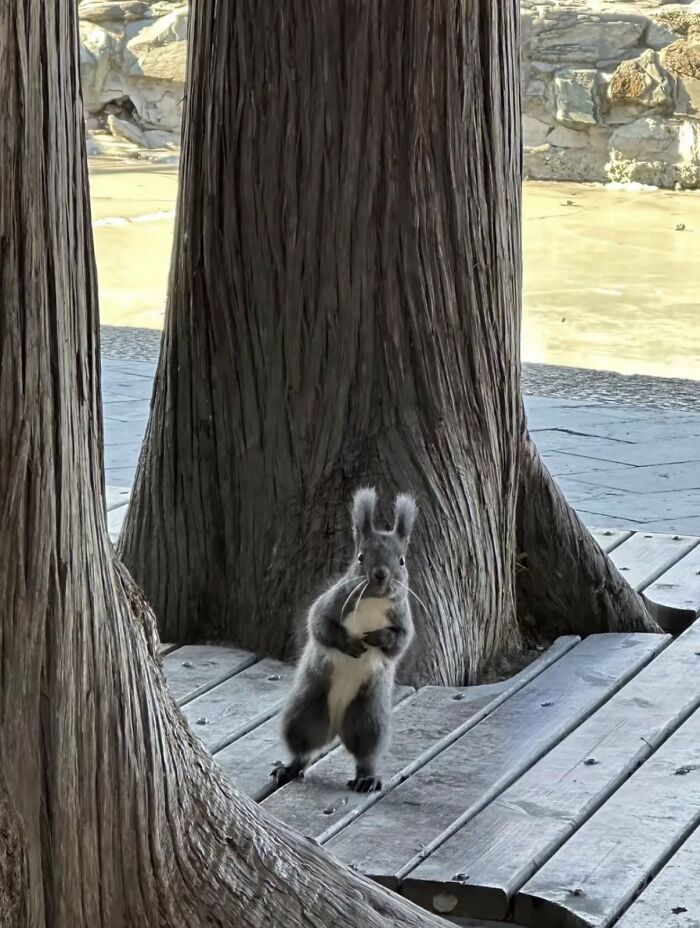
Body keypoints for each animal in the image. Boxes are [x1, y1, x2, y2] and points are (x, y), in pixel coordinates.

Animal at [271, 487, 417, 793]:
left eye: (401, 560)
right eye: (361, 556)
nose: (381, 574)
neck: (373, 603)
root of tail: (337, 726)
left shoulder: (404, 622)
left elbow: (398, 645)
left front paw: (377, 637)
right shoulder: (331, 603)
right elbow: (320, 626)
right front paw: (349, 642)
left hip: (368, 717)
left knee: (366, 753)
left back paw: (366, 778)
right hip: (305, 711)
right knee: (302, 747)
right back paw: (289, 768)